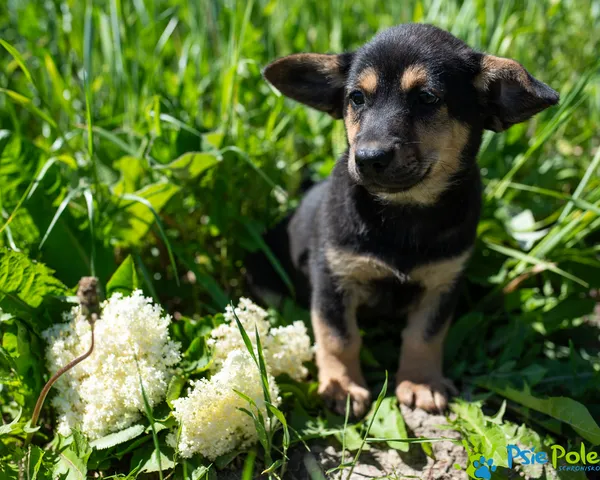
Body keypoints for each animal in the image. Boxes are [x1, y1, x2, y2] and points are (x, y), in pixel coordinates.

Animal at [253, 24, 556, 418]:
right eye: (356, 98)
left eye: (427, 98)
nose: (368, 158)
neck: (403, 212)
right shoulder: (333, 277)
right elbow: (339, 337)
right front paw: (342, 386)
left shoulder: (443, 281)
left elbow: (424, 336)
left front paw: (420, 382)